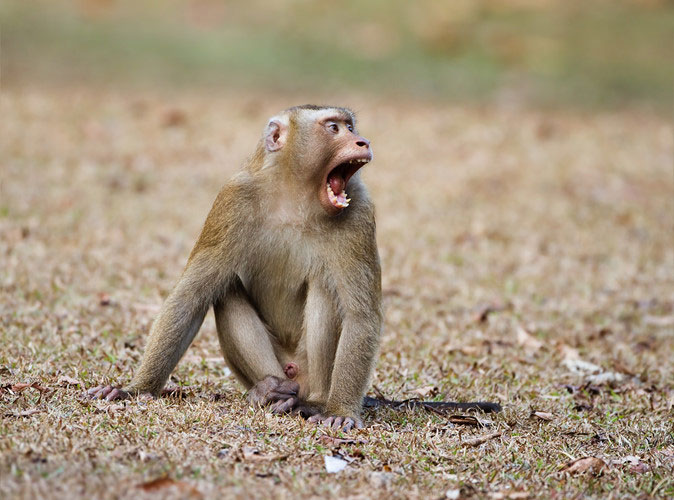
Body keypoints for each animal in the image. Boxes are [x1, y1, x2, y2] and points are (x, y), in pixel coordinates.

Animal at [89, 105, 382, 431]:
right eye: (334, 128)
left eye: (350, 127)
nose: (362, 141)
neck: (297, 195)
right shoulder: (233, 199)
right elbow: (190, 297)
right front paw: (136, 390)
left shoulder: (359, 210)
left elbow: (360, 316)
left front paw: (341, 411)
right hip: (276, 368)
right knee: (225, 289)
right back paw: (269, 392)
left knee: (324, 290)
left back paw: (314, 402)